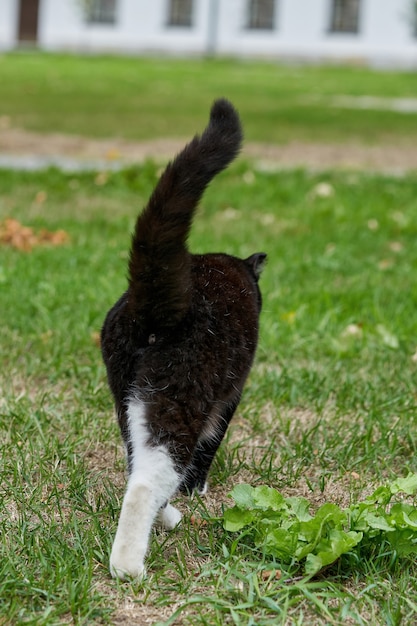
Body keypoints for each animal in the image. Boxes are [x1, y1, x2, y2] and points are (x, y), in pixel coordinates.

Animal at [99, 98, 264, 580]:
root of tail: (151, 303)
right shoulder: (230, 395)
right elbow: (212, 443)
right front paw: (197, 489)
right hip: (178, 400)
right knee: (146, 479)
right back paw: (129, 565)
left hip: (129, 397)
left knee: (133, 459)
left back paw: (167, 516)